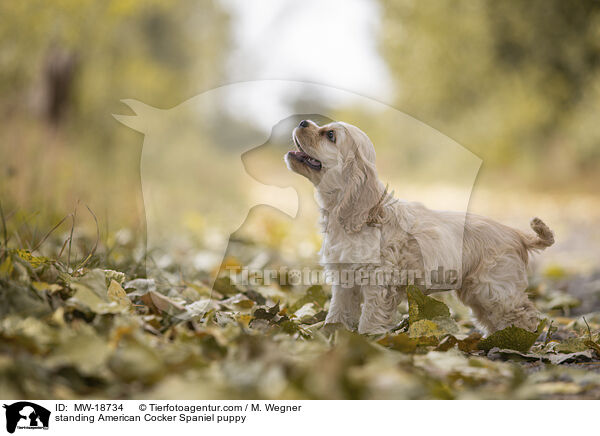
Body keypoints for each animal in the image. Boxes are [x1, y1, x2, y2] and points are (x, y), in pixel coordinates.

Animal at [284, 119, 556, 334]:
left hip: (495, 288)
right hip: (476, 291)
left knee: (524, 314)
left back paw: (520, 344)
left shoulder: (379, 281)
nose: (302, 122)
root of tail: (516, 234)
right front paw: (331, 333)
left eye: (330, 135)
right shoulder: (343, 279)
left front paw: (368, 339)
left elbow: (370, 316)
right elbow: (337, 311)